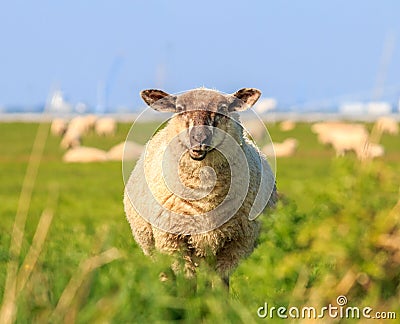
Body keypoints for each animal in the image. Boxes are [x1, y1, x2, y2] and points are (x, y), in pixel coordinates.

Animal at [122, 87, 278, 288]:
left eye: (223, 108)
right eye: (179, 108)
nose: (199, 138)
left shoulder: (237, 243)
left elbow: (221, 284)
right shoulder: (173, 241)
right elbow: (187, 282)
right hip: (154, 247)